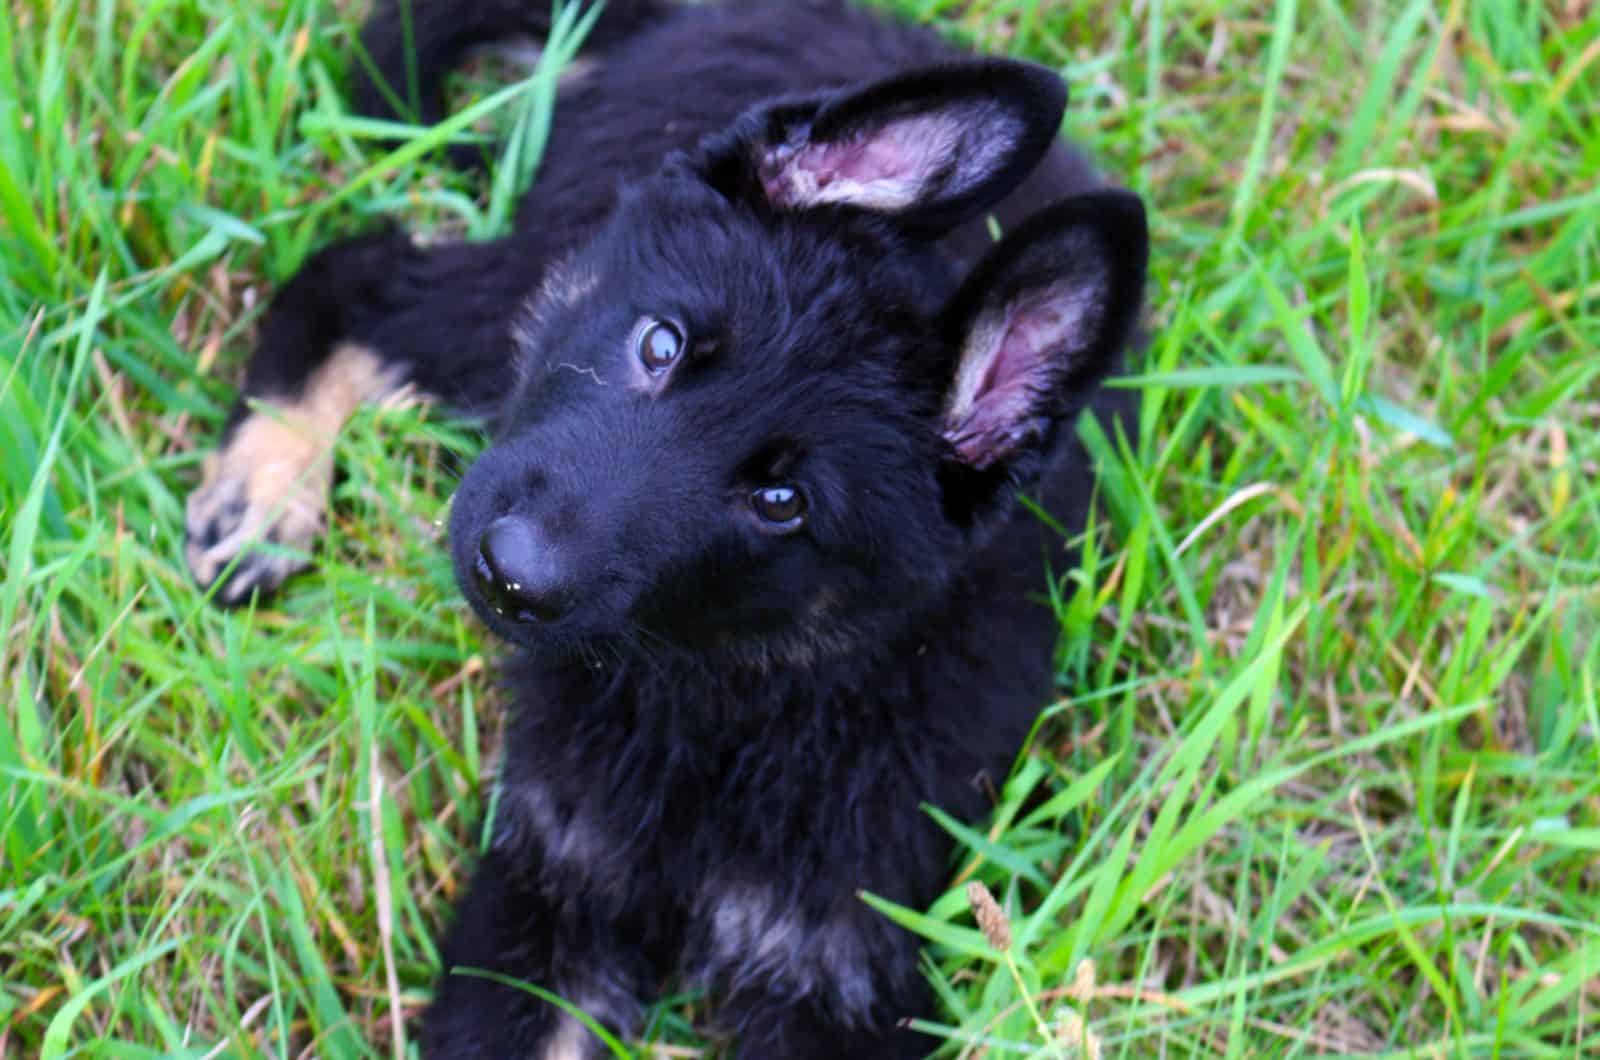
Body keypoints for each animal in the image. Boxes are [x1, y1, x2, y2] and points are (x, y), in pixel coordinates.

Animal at [181, 0, 1145, 1056]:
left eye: (782, 502)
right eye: (660, 344)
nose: (508, 573)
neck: (725, 694)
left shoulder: (843, 966)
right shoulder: (546, 897)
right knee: (355, 271)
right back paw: (264, 488)